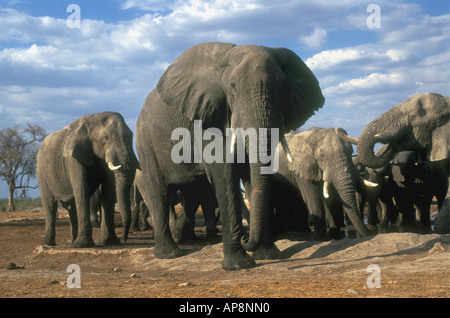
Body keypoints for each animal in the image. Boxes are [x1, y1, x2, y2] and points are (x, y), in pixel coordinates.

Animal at [36, 112, 139, 248]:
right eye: (105, 137)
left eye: (132, 135)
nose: (124, 239)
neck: (94, 118)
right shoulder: (73, 159)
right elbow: (82, 189)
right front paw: (83, 245)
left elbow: (109, 192)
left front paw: (111, 242)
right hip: (41, 173)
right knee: (50, 206)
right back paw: (48, 244)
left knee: (71, 207)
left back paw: (72, 242)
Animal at [134, 41, 324, 270]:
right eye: (232, 86)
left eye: (281, 87)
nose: (246, 238)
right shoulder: (208, 119)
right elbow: (224, 173)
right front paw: (238, 266)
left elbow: (252, 175)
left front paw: (268, 256)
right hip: (145, 141)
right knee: (159, 191)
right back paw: (170, 255)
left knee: (191, 194)